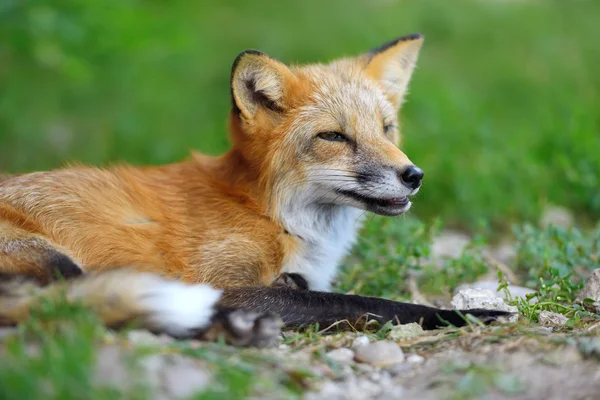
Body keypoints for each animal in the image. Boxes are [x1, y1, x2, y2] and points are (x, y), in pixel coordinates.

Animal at [0, 34, 508, 346]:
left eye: (387, 129)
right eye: (334, 136)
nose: (413, 175)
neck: (274, 216)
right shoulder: (217, 280)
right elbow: (363, 301)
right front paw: (465, 316)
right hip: (59, 264)